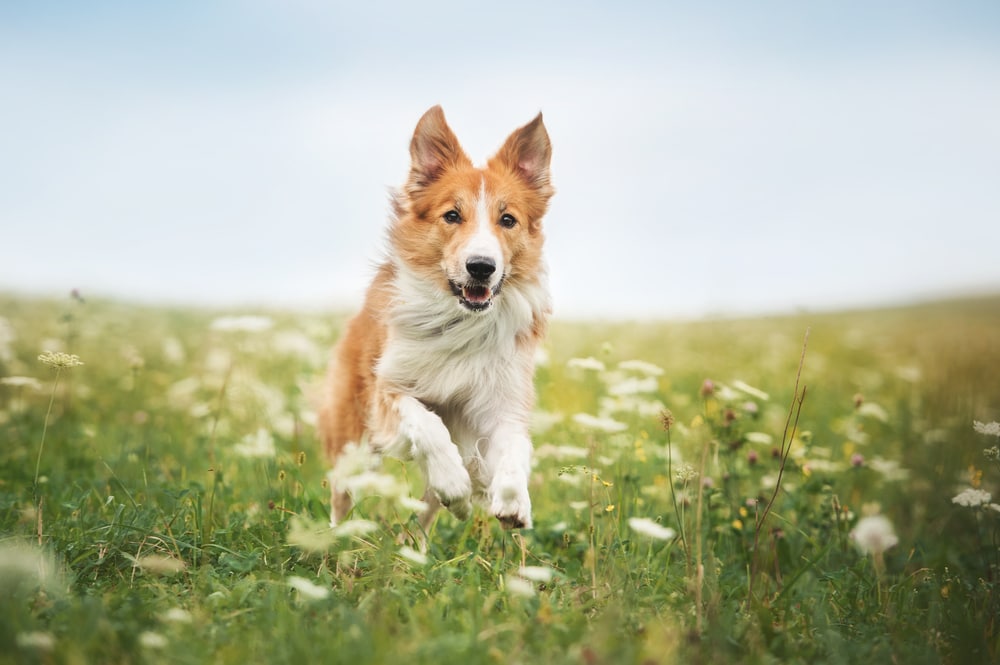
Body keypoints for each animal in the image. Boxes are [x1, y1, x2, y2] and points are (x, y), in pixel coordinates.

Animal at [320, 105, 556, 528]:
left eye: (508, 220)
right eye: (452, 215)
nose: (481, 267)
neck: (461, 322)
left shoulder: (501, 400)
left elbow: (516, 446)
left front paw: (513, 500)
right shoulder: (388, 389)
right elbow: (428, 424)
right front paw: (454, 482)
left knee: (424, 517)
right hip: (352, 438)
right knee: (342, 496)